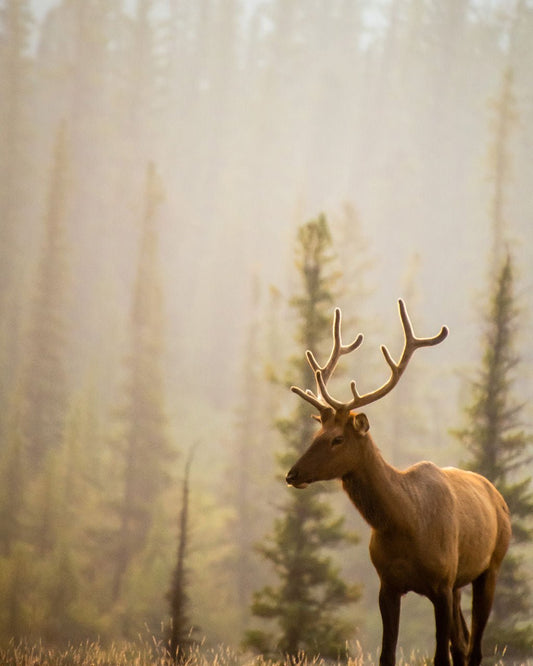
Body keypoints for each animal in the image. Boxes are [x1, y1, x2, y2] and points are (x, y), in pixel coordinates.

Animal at [286, 300, 512, 664]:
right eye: (316, 433)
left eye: (337, 439)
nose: (292, 474)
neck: (405, 522)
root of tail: (498, 497)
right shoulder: (388, 584)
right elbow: (387, 655)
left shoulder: (441, 583)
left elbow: (440, 657)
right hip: (460, 584)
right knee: (462, 643)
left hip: (490, 566)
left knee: (474, 648)